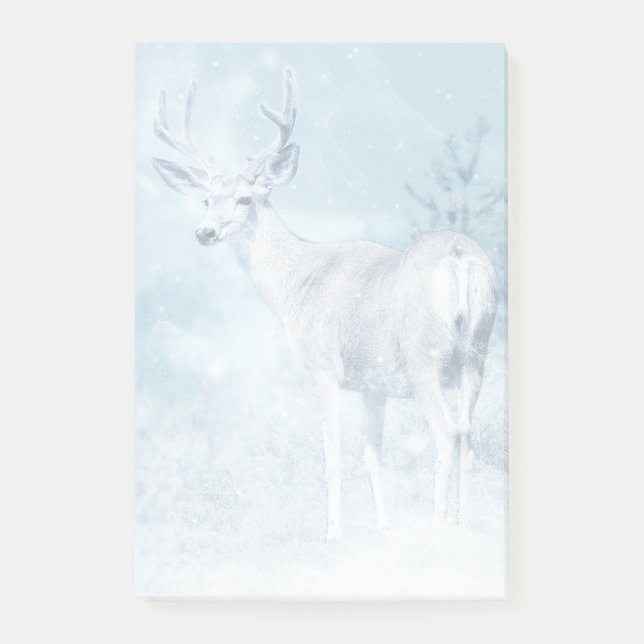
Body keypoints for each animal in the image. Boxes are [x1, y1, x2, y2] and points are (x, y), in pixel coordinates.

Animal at [151, 67, 497, 543]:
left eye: (245, 198)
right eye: (206, 198)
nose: (204, 231)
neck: (298, 285)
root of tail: (460, 259)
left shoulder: (323, 367)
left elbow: (332, 457)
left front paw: (333, 534)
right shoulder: (372, 384)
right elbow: (372, 456)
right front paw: (383, 528)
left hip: (422, 356)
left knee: (446, 433)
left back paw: (438, 525)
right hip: (477, 353)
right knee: (469, 433)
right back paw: (464, 525)